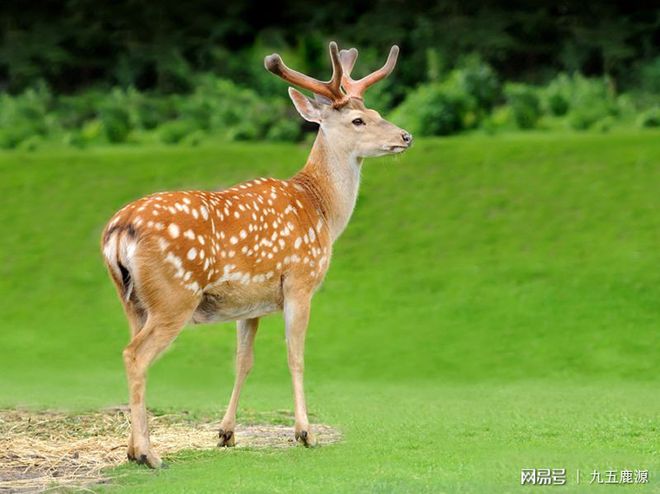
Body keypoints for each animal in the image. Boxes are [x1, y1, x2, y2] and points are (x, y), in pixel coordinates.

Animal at [102, 41, 412, 466]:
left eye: (377, 113)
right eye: (358, 121)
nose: (405, 136)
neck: (321, 209)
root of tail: (119, 231)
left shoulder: (250, 302)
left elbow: (243, 362)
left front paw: (226, 433)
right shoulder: (300, 280)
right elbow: (296, 356)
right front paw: (305, 433)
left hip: (132, 300)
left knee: (133, 351)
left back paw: (134, 450)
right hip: (173, 296)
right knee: (135, 355)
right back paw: (149, 454)